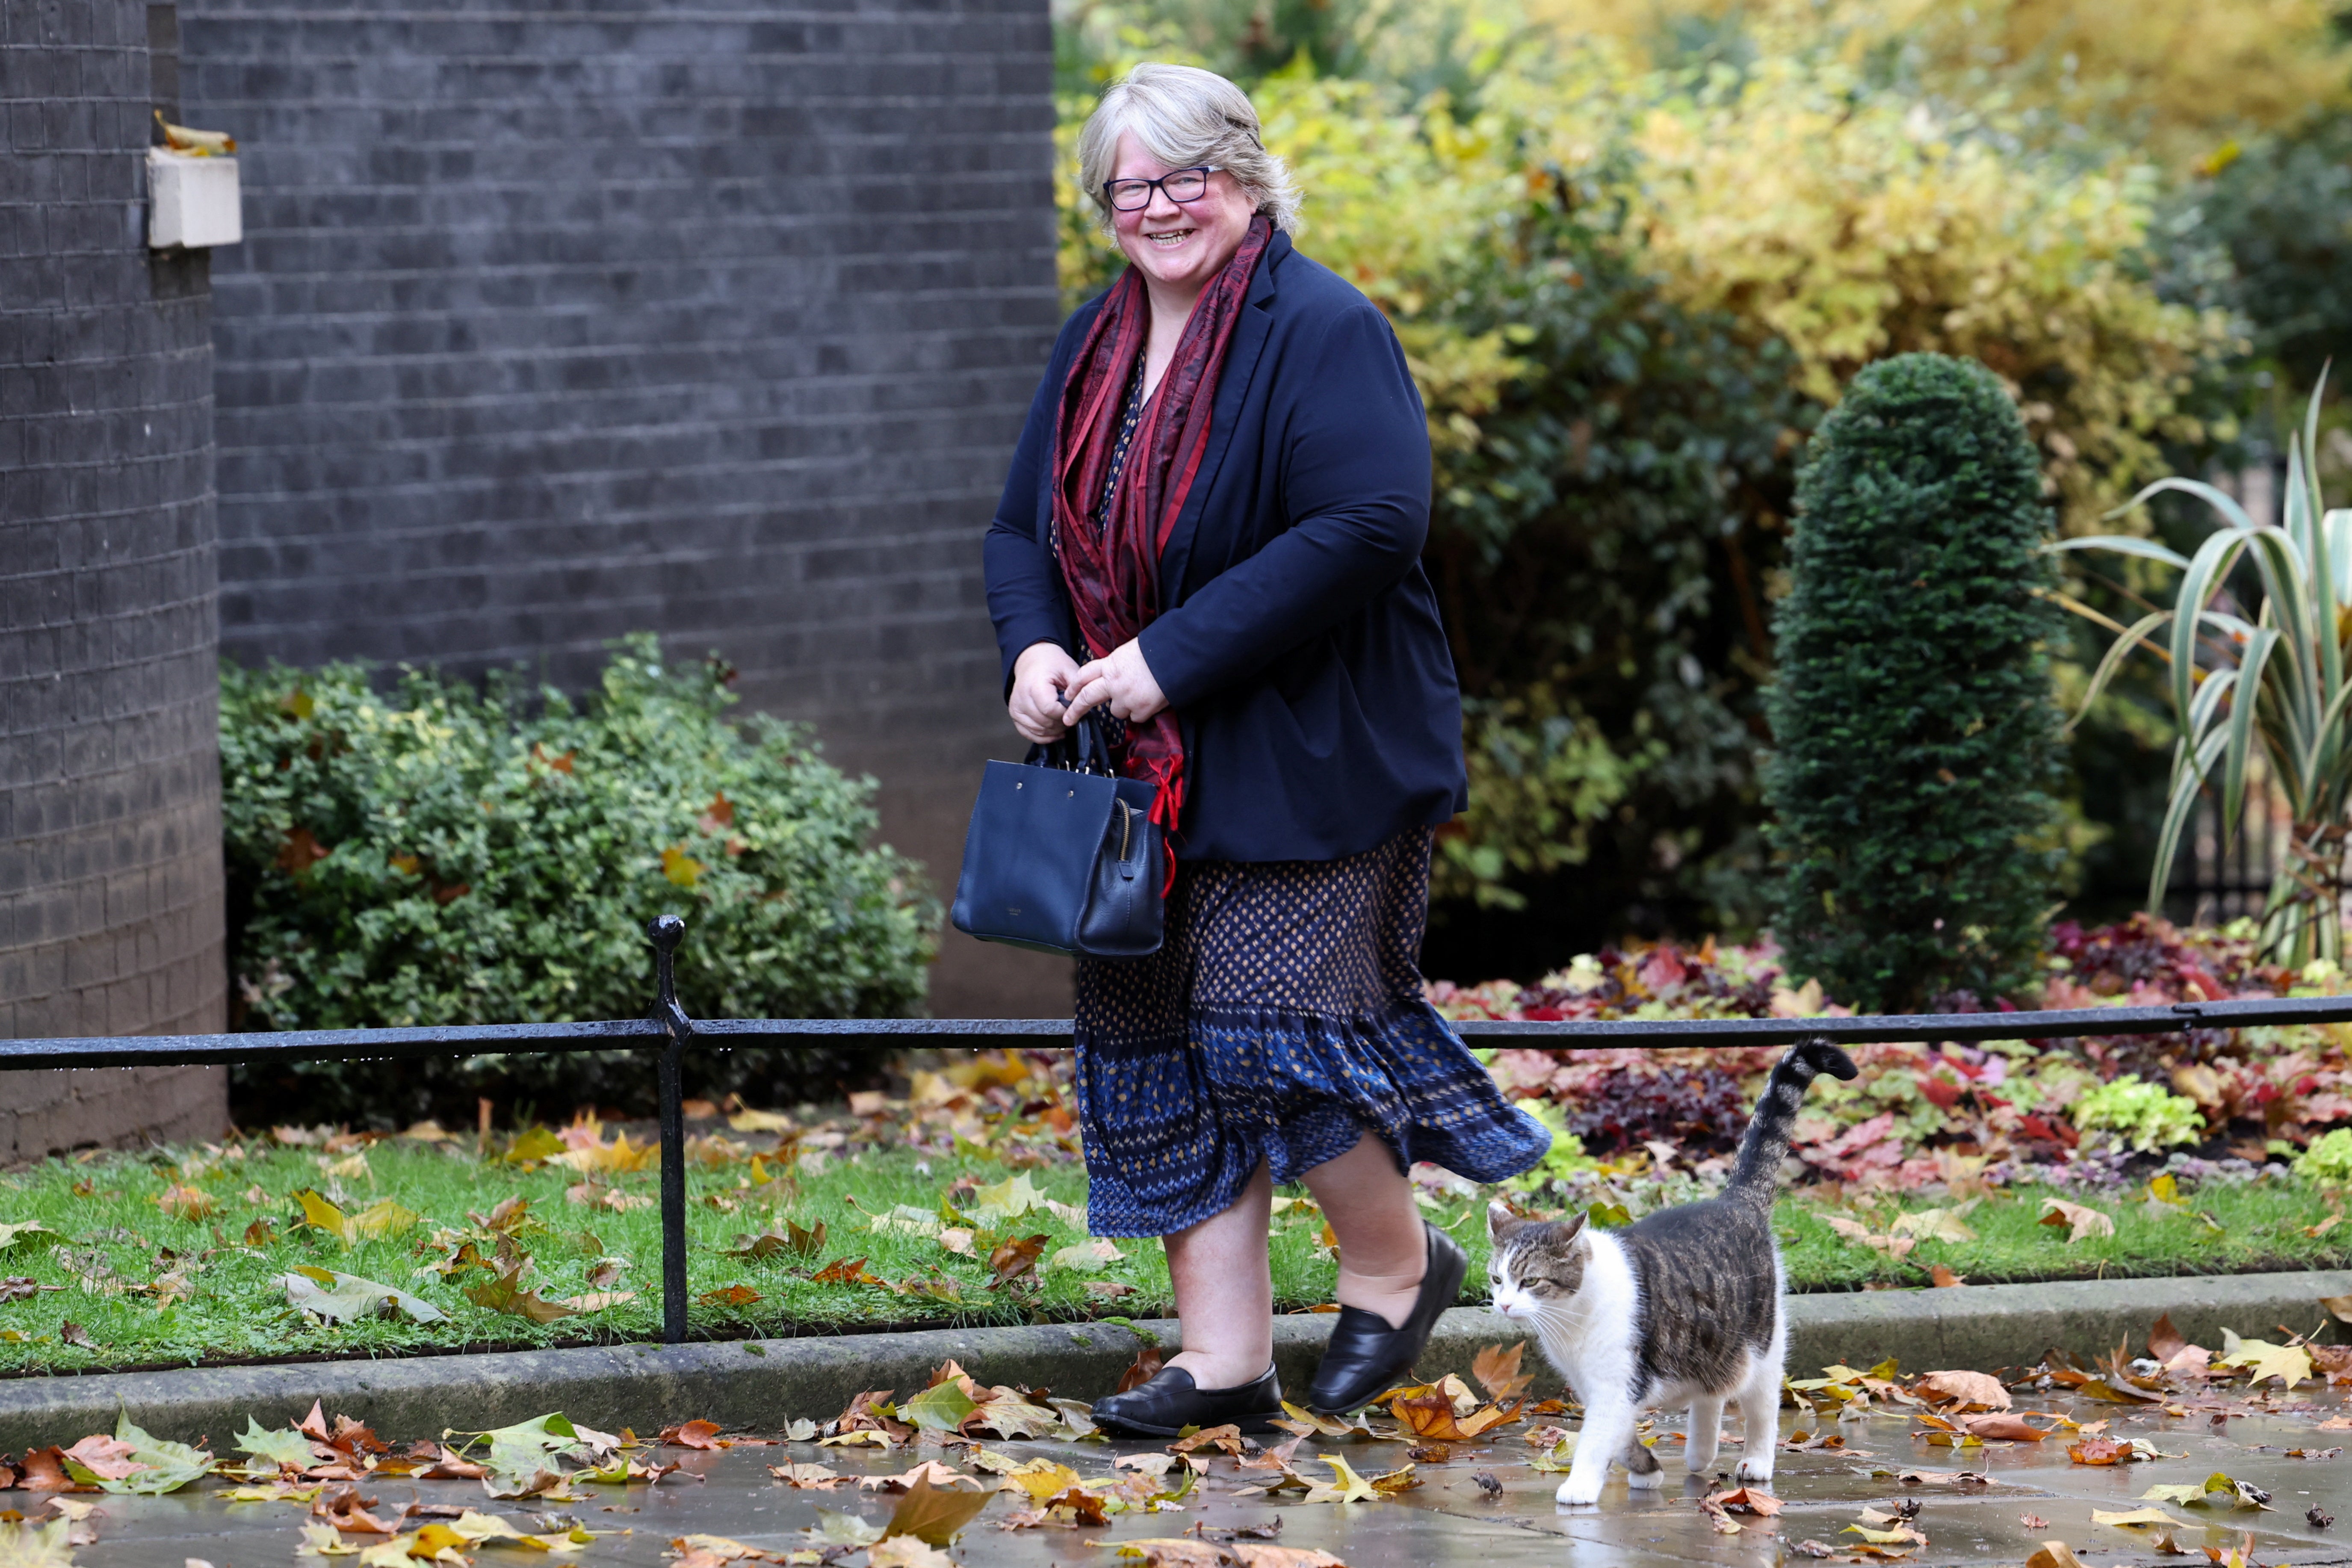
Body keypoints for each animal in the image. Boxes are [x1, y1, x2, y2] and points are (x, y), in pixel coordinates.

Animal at [1486, 1034, 1853, 1504]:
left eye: (1530, 1280)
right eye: (1498, 1279)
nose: (1504, 1305)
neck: (1571, 1323)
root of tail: (1735, 1201)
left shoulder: (1616, 1383)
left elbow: (1596, 1438)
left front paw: (1580, 1484)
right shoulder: (1596, 1385)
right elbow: (1620, 1436)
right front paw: (1647, 1468)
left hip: (1762, 1344)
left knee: (1761, 1405)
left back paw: (1756, 1460)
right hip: (1711, 1339)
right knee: (1713, 1391)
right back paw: (1700, 1451)